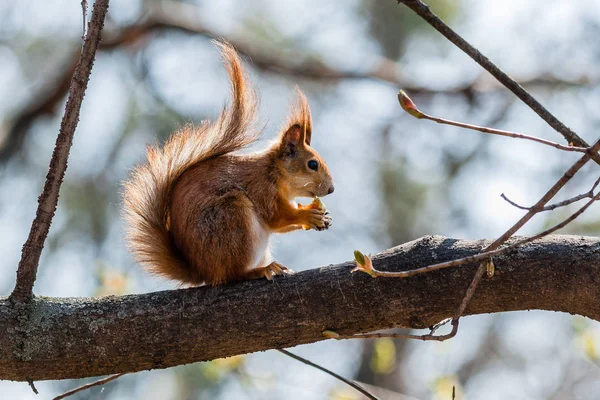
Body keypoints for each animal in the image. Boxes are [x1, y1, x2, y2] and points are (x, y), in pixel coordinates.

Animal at [122, 40, 336, 286]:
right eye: (313, 164)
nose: (331, 189)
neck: (275, 172)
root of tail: (202, 272)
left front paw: (319, 217)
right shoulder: (261, 188)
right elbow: (276, 217)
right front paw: (308, 215)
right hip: (232, 217)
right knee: (232, 274)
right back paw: (259, 270)